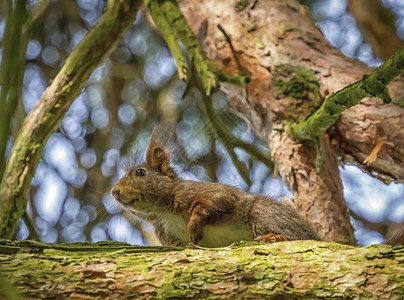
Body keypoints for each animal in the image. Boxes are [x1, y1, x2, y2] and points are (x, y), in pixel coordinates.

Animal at [110, 123, 318, 247]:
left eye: (140, 173)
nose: (114, 192)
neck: (163, 212)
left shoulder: (202, 191)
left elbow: (215, 202)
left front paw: (194, 224)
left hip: (264, 212)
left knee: (298, 237)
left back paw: (275, 237)